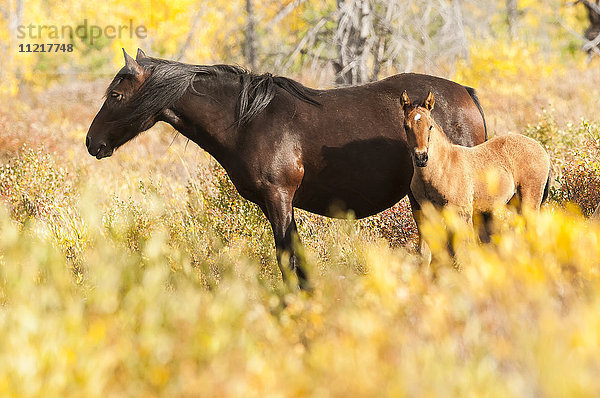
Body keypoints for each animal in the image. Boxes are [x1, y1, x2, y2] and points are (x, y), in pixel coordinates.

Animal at [85, 50, 488, 290]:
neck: (248, 119)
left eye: (116, 96)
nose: (92, 142)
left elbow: (288, 259)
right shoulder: (273, 204)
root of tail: (466, 94)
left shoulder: (279, 197)